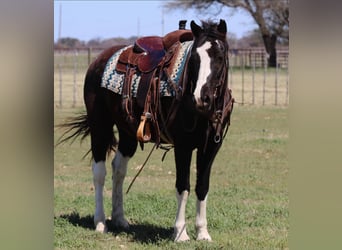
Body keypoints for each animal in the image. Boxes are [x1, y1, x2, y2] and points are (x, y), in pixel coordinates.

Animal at [58, 19, 234, 242]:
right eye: (194, 57)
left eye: (220, 56)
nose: (201, 98)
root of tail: (98, 60)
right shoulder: (183, 147)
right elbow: (183, 186)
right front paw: (180, 233)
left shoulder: (211, 146)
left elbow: (202, 187)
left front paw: (203, 233)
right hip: (100, 126)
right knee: (99, 172)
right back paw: (100, 222)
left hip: (127, 133)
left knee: (118, 170)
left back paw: (119, 219)